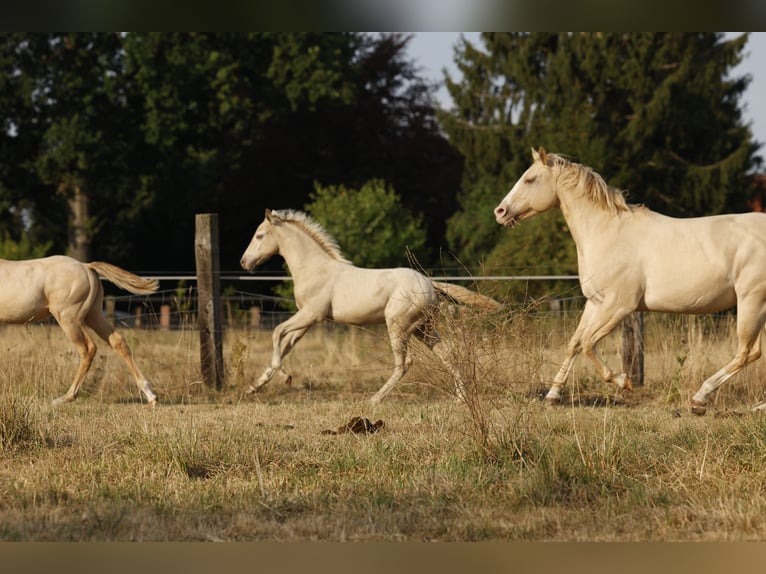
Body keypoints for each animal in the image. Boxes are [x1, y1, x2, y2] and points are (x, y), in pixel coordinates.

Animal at [0, 255, 159, 405]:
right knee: (117, 341)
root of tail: (86, 266)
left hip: (69, 319)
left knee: (88, 348)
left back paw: (65, 397)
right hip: (93, 316)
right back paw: (150, 395)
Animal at [240, 209, 502, 404]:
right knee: (448, 355)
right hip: (423, 329)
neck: (315, 269)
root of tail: (429, 283)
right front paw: (255, 386)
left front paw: (285, 377)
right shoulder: (307, 319)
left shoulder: (311, 314)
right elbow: (285, 345)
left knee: (404, 363)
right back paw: (460, 399)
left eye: (260, 235)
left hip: (398, 326)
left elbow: (277, 333)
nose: (244, 262)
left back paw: (374, 399)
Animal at [494, 147, 766, 415]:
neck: (607, 232)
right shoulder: (595, 302)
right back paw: (756, 406)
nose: (500, 212)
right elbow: (574, 343)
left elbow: (588, 343)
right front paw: (552, 396)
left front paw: (623, 381)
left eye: (530, 179)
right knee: (755, 354)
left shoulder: (620, 305)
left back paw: (700, 398)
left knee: (746, 352)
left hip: (751, 302)